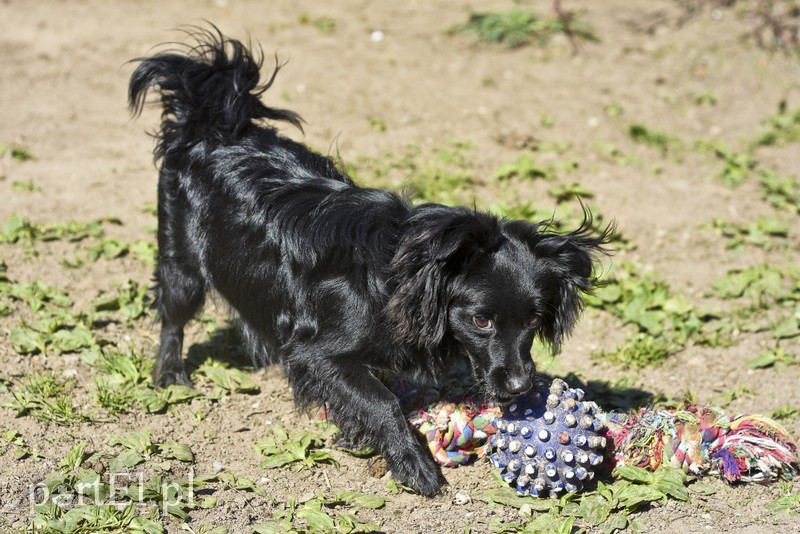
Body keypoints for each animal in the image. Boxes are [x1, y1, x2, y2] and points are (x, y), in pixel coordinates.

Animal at [128, 28, 608, 498]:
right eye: (481, 321)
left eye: (534, 321)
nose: (521, 388)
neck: (397, 278)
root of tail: (214, 124)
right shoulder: (316, 352)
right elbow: (380, 400)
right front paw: (414, 464)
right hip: (183, 263)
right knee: (173, 318)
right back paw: (170, 377)